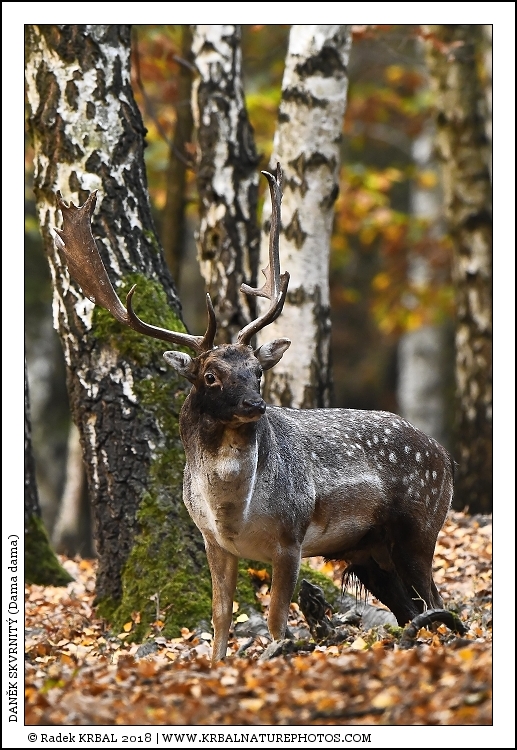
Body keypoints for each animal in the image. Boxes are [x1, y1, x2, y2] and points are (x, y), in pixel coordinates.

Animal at [53, 164, 454, 664]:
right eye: (210, 375)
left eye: (257, 371)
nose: (256, 405)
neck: (233, 511)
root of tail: (446, 457)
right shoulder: (213, 542)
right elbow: (220, 618)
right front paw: (218, 664)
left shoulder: (291, 536)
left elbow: (279, 619)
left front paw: (278, 655)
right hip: (368, 551)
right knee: (411, 608)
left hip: (419, 526)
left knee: (436, 600)